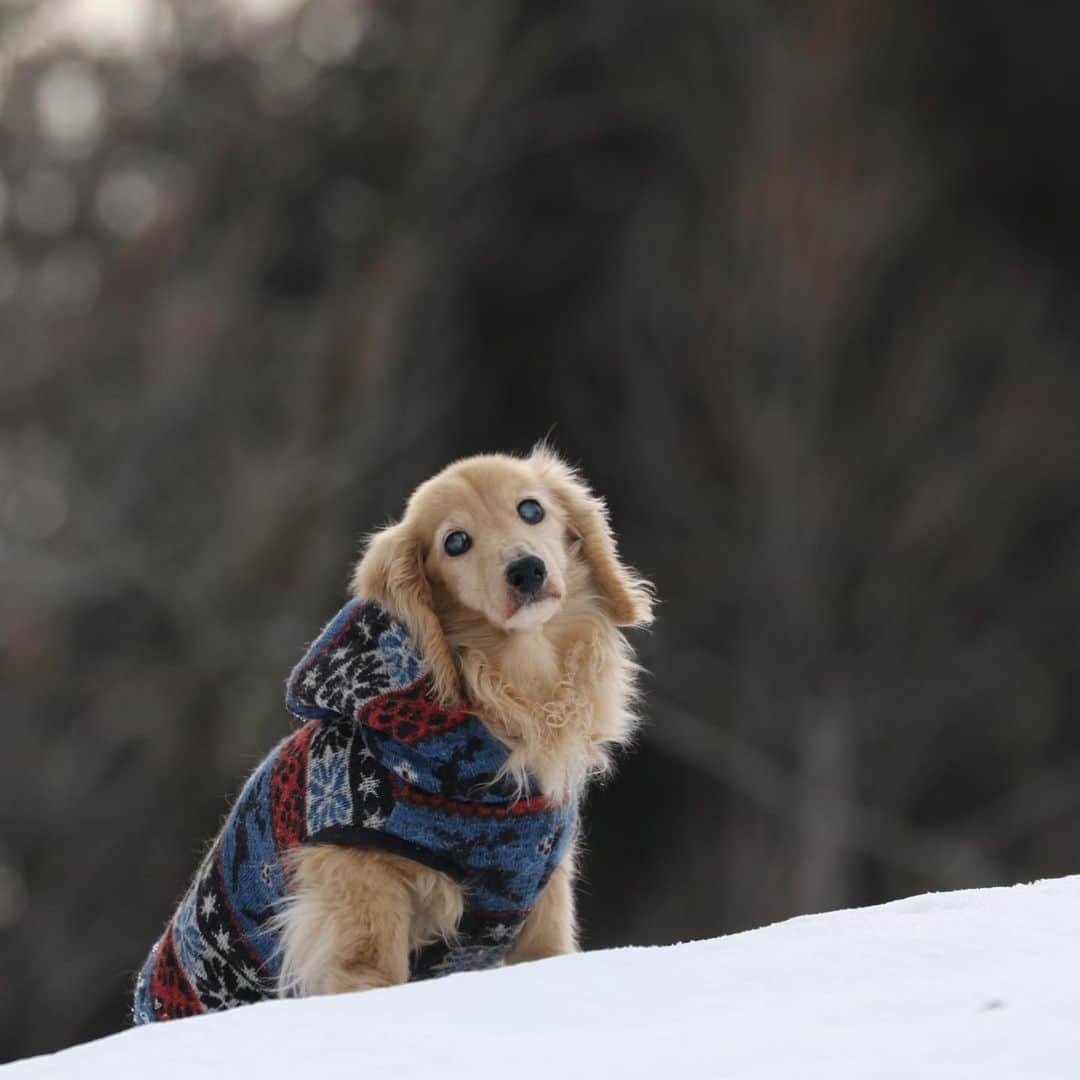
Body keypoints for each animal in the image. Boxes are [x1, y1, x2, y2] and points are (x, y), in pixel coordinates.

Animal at [130, 442, 652, 1015]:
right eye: (455, 542)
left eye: (531, 509)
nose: (526, 570)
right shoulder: (357, 880)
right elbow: (370, 970)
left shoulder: (543, 896)